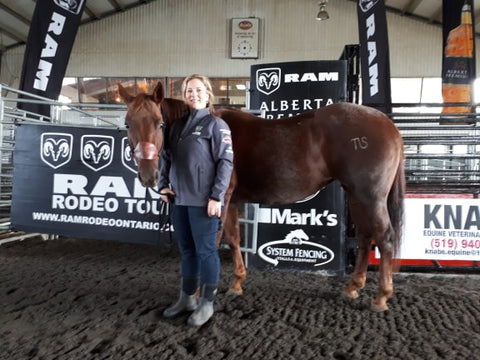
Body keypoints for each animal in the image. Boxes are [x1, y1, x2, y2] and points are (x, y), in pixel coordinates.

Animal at [118, 82, 404, 312]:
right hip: (355, 195)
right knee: (366, 237)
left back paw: (381, 297)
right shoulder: (231, 201)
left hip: (371, 197)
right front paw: (236, 283)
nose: (148, 176)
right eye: (128, 124)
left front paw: (199, 293)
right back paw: (353, 287)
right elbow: (233, 238)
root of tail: (389, 125)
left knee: (384, 238)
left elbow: (212, 242)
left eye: (159, 123)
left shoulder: (218, 200)